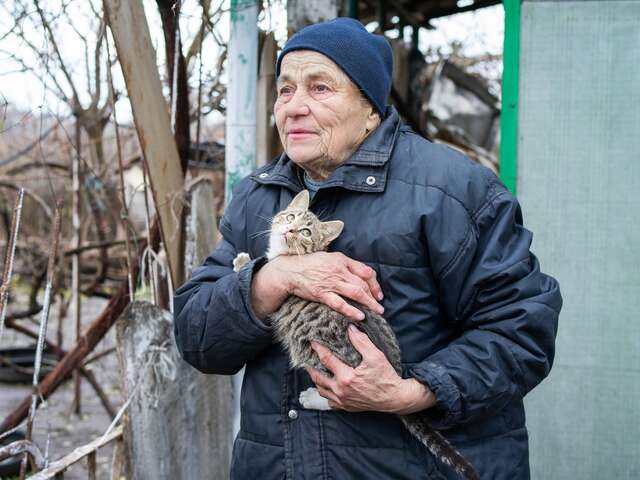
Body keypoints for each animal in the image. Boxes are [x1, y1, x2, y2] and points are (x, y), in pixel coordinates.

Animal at [235, 189, 480, 478]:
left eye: (306, 232)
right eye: (292, 217)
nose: (290, 229)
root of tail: (393, 368)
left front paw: (242, 263)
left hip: (322, 359)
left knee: (340, 398)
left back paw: (314, 398)